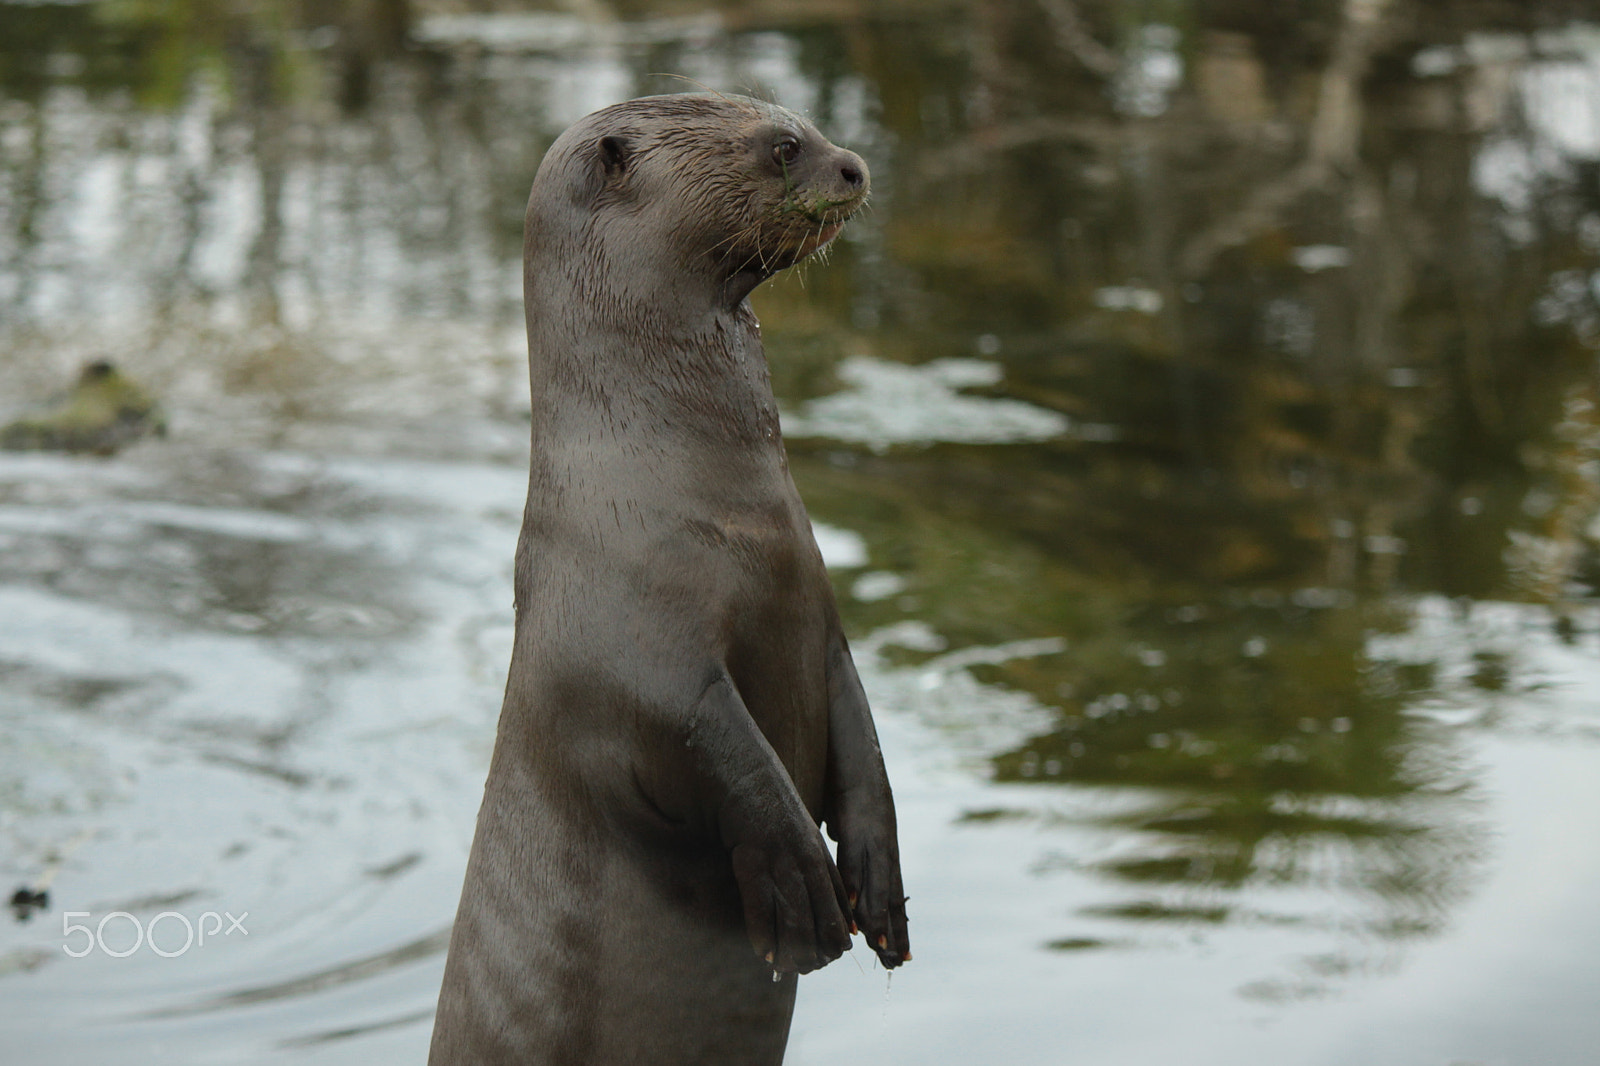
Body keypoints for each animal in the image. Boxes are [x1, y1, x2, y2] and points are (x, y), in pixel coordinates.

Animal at [428, 94, 909, 1065]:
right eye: (782, 146)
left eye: (801, 124)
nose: (853, 165)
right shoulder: (636, 661)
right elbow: (724, 760)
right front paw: (803, 893)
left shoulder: (819, 618)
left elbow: (864, 748)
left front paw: (877, 882)